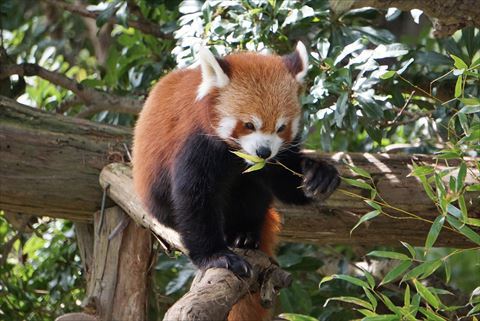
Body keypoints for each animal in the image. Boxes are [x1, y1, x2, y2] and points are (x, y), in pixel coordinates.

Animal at [133, 43, 340, 320]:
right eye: (249, 125)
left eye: (281, 127)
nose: (263, 151)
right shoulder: (196, 143)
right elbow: (194, 199)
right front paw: (216, 256)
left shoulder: (275, 158)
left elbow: (283, 179)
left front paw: (318, 174)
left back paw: (245, 234)